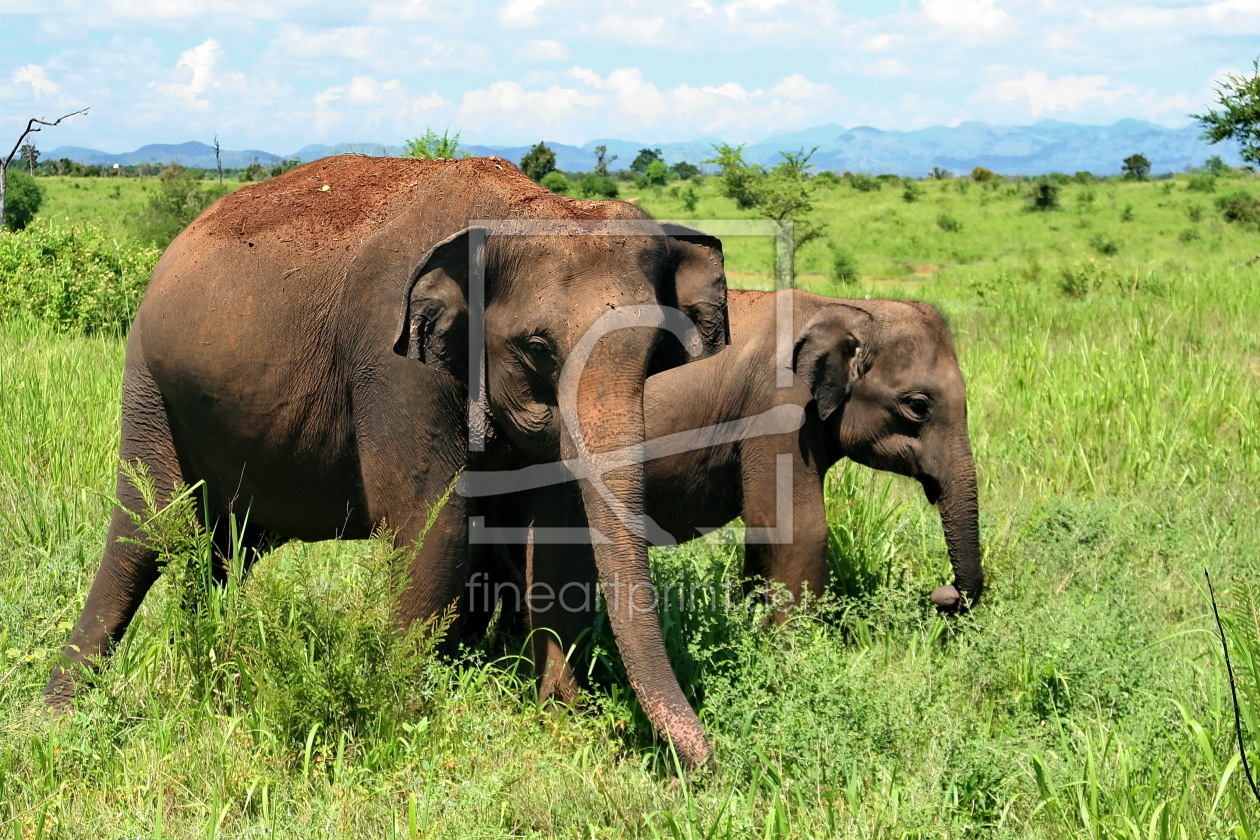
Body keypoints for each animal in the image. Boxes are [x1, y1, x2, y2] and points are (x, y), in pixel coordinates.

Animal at [46, 154, 730, 770]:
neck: (518, 205)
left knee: (218, 549)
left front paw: (560, 721)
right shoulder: (392, 362)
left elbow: (559, 539)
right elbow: (435, 529)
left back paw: (211, 670)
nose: (706, 768)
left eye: (657, 351)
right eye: (539, 347)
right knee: (147, 536)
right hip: (149, 386)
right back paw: (58, 717)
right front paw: (397, 719)